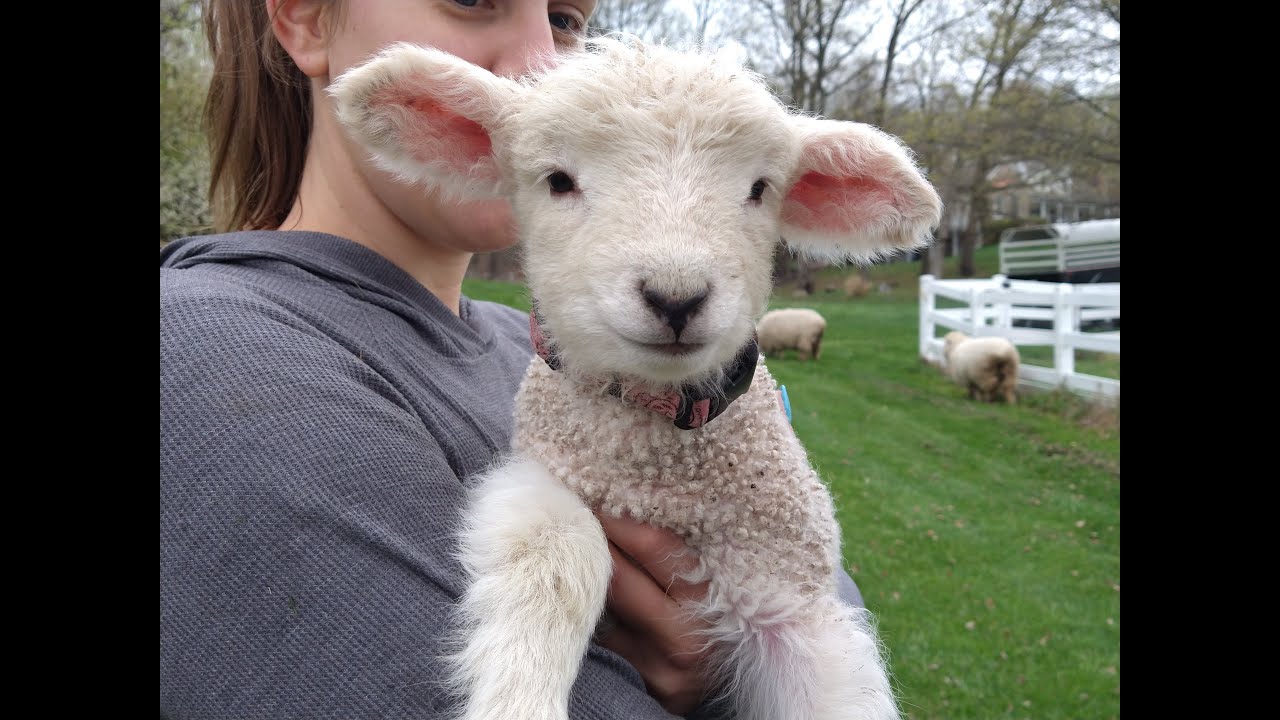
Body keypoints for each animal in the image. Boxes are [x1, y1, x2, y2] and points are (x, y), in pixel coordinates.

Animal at [331, 35, 943, 720]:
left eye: (761, 189)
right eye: (558, 181)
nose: (676, 297)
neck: (657, 473)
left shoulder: (788, 583)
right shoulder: (542, 473)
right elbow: (562, 554)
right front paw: (519, 694)